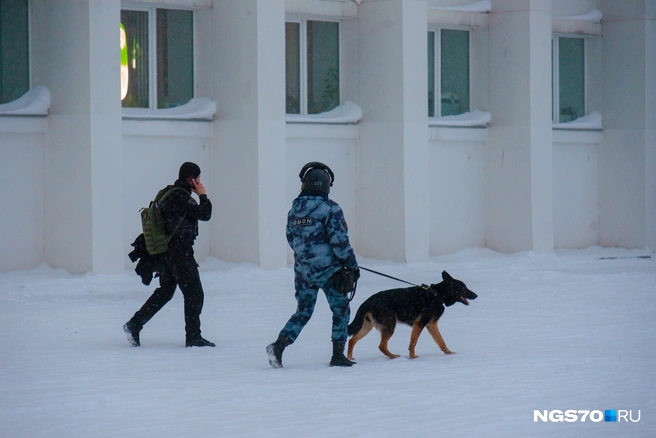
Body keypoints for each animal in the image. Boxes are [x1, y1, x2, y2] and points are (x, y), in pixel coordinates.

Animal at [348, 272, 476, 362]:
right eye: (464, 288)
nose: (476, 295)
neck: (437, 294)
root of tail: (367, 302)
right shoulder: (419, 323)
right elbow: (413, 342)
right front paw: (413, 357)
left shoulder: (431, 325)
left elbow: (441, 341)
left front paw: (448, 353)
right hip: (390, 326)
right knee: (381, 346)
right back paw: (393, 356)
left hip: (366, 327)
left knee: (352, 340)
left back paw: (350, 358)